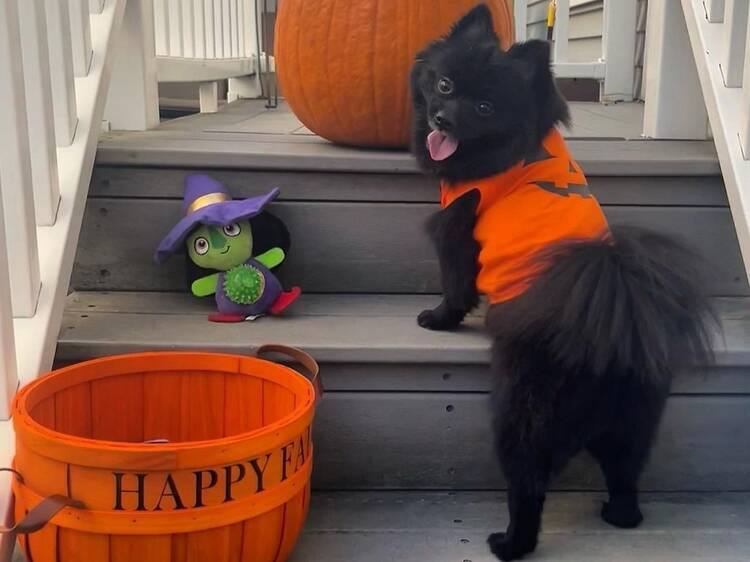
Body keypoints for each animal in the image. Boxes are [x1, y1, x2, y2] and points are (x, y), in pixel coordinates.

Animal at [412, 5, 716, 560]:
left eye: (484, 107)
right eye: (444, 85)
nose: (443, 118)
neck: (507, 149)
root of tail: (611, 331)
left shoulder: (457, 226)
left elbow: (457, 284)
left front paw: (438, 320)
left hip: (524, 417)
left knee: (528, 484)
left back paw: (509, 543)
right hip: (633, 423)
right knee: (626, 471)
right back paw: (619, 516)